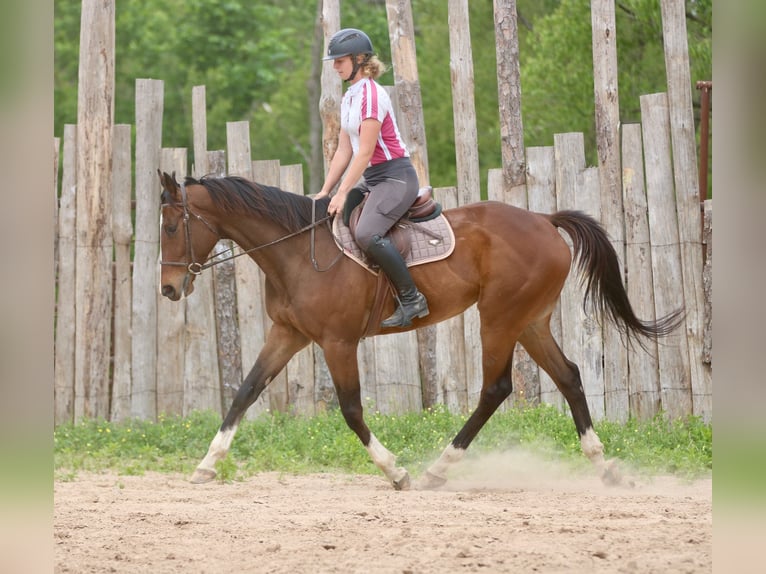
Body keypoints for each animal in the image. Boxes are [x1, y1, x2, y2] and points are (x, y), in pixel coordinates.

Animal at [157, 171, 682, 490]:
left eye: (171, 227)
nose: (168, 288)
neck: (297, 252)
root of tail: (542, 219)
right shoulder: (287, 334)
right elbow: (245, 392)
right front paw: (207, 464)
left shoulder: (337, 343)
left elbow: (351, 410)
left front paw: (396, 472)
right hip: (530, 321)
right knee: (569, 376)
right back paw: (606, 467)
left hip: (499, 318)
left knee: (495, 388)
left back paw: (437, 469)